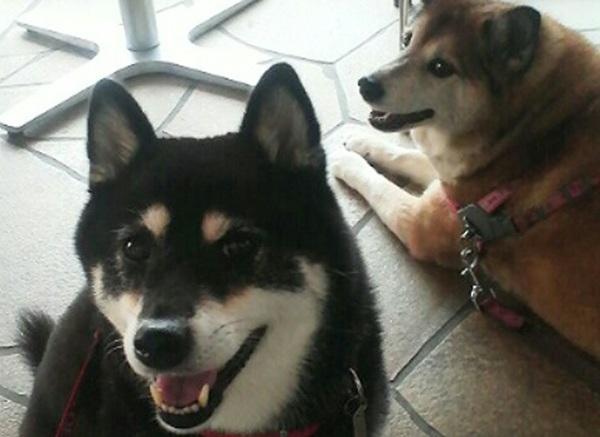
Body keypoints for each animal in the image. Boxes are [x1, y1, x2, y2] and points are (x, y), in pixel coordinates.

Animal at [331, 0, 600, 361]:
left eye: (440, 67)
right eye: (407, 39)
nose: (365, 84)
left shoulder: (422, 224)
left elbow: (379, 184)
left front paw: (345, 159)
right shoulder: (450, 181)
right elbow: (404, 155)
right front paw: (359, 142)